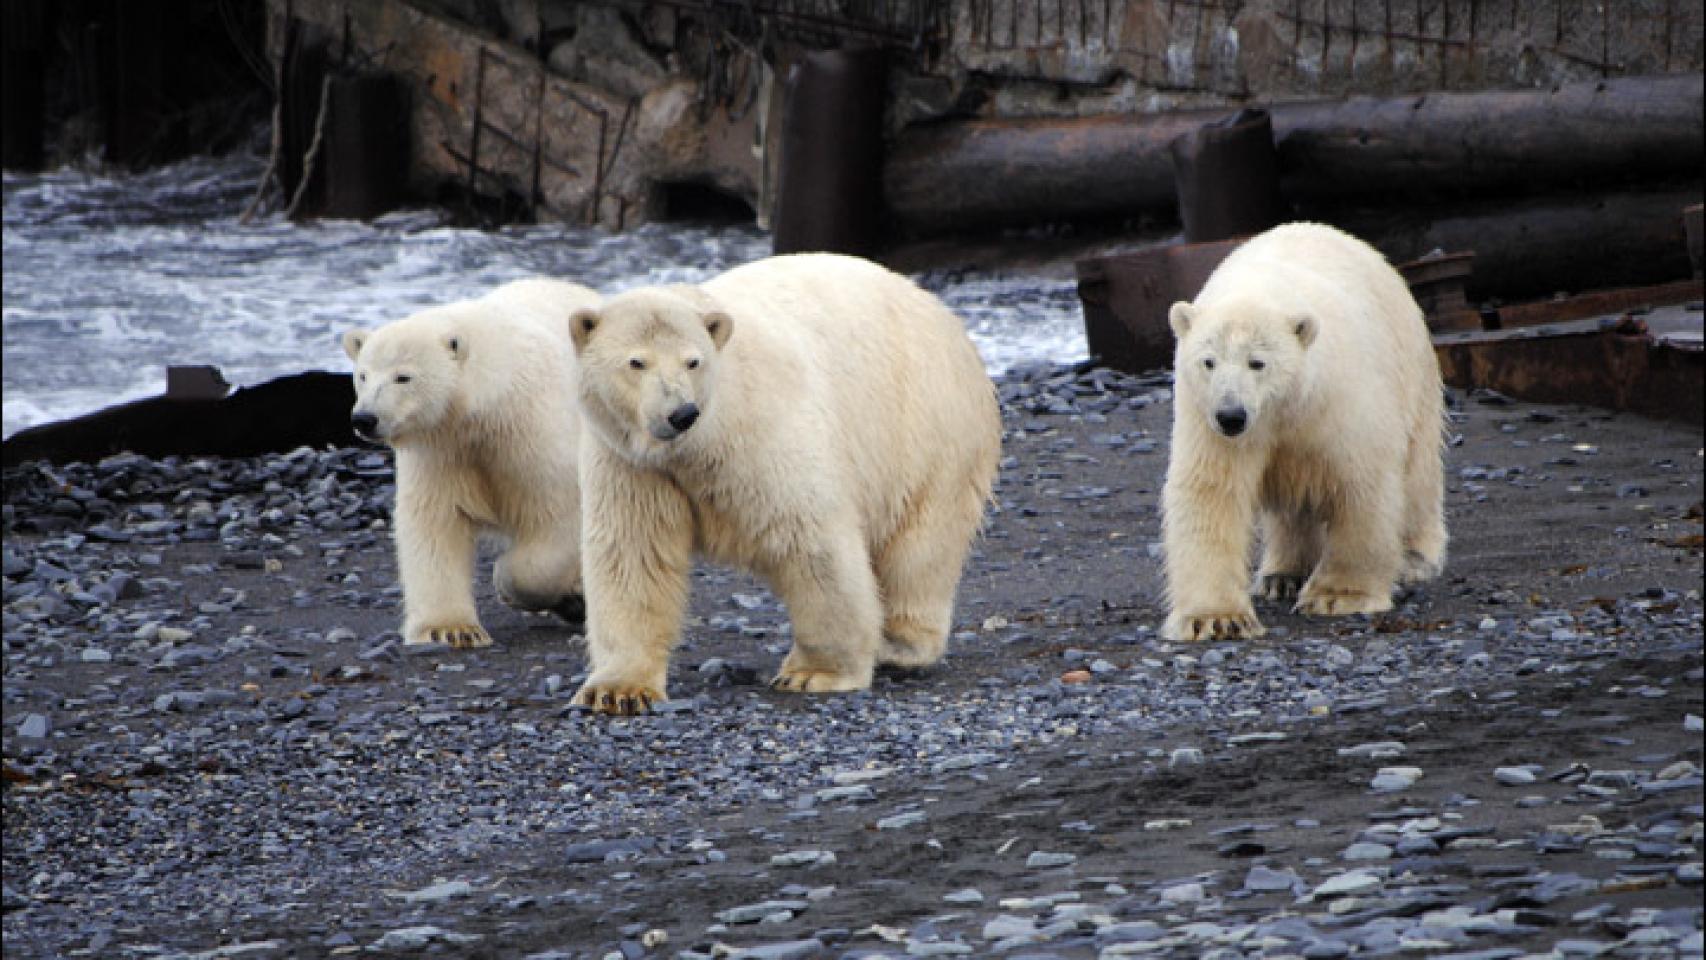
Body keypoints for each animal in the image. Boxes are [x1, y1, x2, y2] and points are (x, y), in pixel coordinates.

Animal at [341, 277, 600, 648]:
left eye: (403, 377)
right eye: (362, 375)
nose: (364, 418)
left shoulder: (534, 433)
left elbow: (558, 513)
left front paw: (511, 583)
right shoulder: (441, 449)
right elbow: (434, 523)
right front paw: (451, 629)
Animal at [561, 253, 1002, 714]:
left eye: (693, 361)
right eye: (636, 362)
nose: (681, 413)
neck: (700, 443)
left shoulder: (763, 433)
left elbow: (809, 539)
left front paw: (814, 673)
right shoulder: (630, 464)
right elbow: (633, 555)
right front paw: (619, 690)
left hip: (929, 433)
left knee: (920, 549)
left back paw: (899, 645)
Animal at [1160, 222, 1446, 642]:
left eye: (1257, 362)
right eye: (1208, 361)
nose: (1231, 415)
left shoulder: (1340, 401)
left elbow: (1360, 482)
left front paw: (1338, 596)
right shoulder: (1206, 419)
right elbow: (1212, 491)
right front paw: (1216, 618)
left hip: (1413, 367)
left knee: (1418, 471)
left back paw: (1414, 558)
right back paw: (1281, 575)